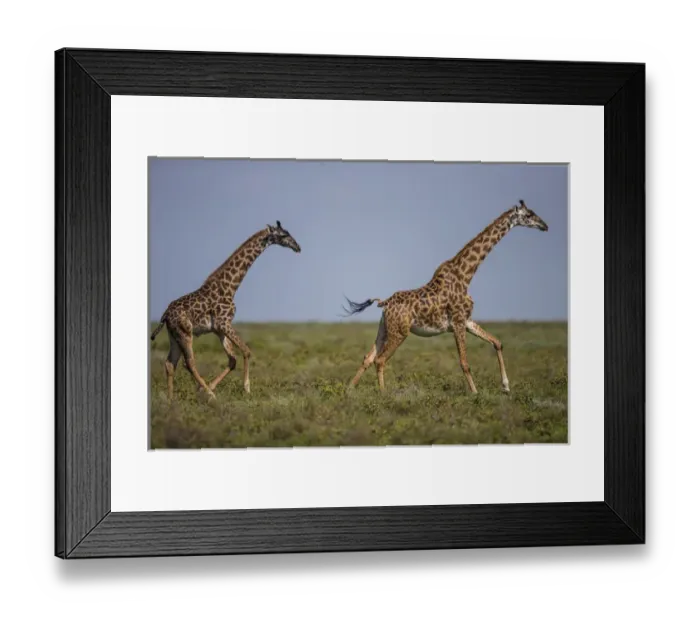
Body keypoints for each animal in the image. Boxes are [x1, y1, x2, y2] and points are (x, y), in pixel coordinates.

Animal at [150, 221, 301, 400]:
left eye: (289, 232)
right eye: (284, 235)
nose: (297, 247)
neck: (230, 287)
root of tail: (165, 315)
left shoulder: (219, 328)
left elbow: (232, 359)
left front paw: (209, 387)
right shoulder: (224, 323)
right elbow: (246, 351)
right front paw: (246, 388)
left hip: (174, 335)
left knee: (170, 363)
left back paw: (171, 399)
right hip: (185, 332)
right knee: (189, 363)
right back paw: (210, 396)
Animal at [344, 200, 549, 393]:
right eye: (529, 215)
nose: (544, 225)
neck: (465, 276)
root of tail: (385, 303)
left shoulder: (467, 321)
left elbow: (497, 343)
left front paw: (506, 387)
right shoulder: (457, 322)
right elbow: (464, 363)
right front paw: (475, 393)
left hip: (384, 328)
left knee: (368, 357)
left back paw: (349, 390)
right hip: (400, 332)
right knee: (380, 360)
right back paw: (383, 394)